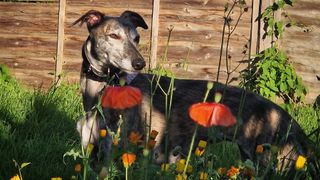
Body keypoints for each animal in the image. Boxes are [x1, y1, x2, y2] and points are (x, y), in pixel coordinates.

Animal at [73, 9, 316, 176]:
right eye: (114, 36)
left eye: (136, 38)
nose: (139, 63)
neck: (105, 89)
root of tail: (290, 121)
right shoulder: (94, 156)